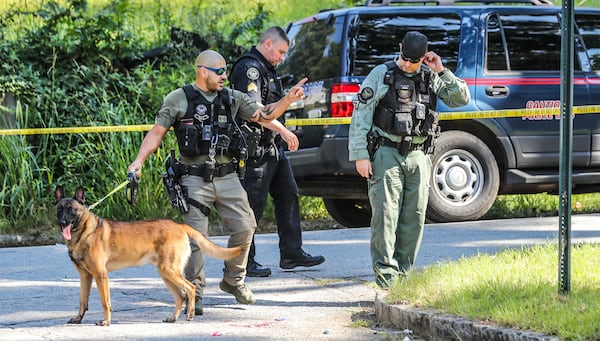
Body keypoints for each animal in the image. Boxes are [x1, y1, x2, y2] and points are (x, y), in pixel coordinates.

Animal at [52, 186, 239, 324]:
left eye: (72, 210)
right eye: (59, 209)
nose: (62, 222)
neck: (84, 233)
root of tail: (179, 225)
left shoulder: (100, 275)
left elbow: (105, 302)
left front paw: (106, 321)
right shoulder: (85, 277)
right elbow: (82, 301)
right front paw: (78, 319)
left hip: (169, 271)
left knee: (190, 289)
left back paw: (190, 314)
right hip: (165, 274)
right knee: (180, 296)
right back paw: (173, 318)